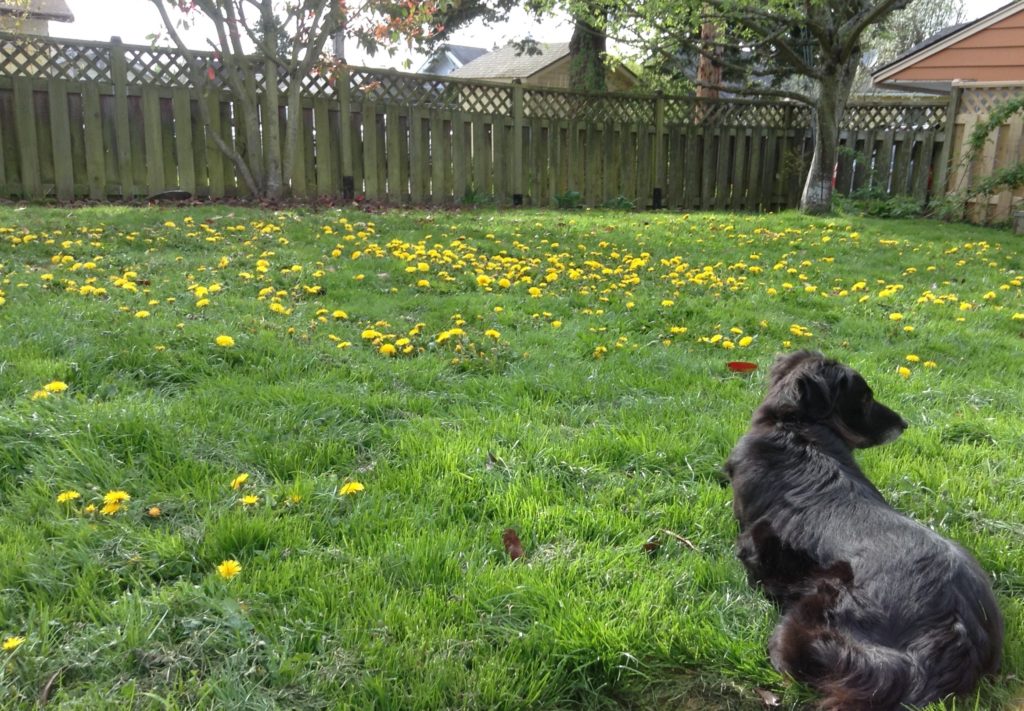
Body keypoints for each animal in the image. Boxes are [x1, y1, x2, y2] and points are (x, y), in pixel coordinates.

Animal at [724, 352, 1003, 711]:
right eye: (866, 398)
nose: (904, 424)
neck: (796, 425)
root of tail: (955, 628)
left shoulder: (749, 538)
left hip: (811, 618)